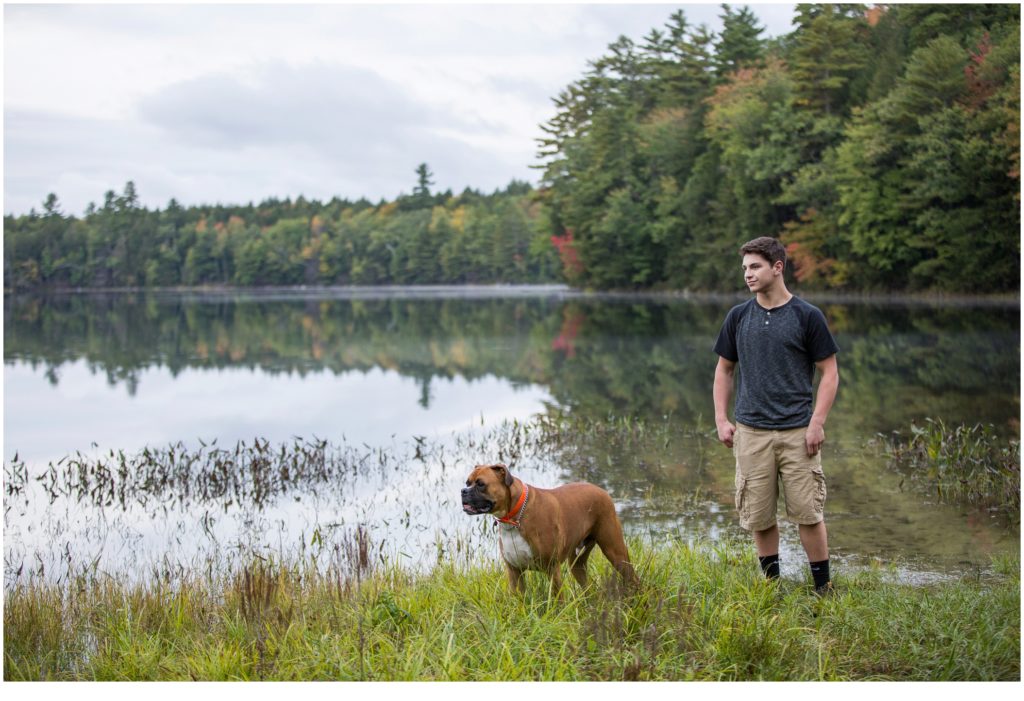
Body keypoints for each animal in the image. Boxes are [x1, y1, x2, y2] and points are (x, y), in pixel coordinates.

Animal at [460, 462, 634, 593]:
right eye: (467, 483)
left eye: (481, 484)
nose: (463, 491)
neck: (514, 519)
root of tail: (601, 490)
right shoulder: (515, 572)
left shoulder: (552, 570)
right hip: (577, 565)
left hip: (616, 553)